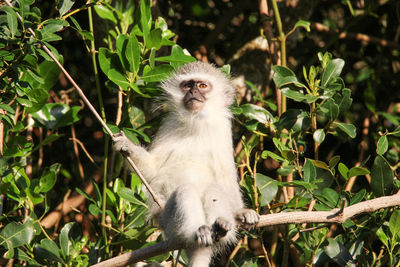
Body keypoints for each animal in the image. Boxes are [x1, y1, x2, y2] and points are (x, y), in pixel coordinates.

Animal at [114, 61, 260, 266]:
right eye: (187, 85)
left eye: (202, 86)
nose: (193, 92)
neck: (196, 122)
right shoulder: (168, 124)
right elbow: (153, 169)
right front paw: (127, 146)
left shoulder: (223, 129)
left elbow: (225, 179)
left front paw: (241, 212)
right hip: (167, 220)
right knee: (185, 191)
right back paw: (199, 231)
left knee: (214, 189)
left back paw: (221, 227)